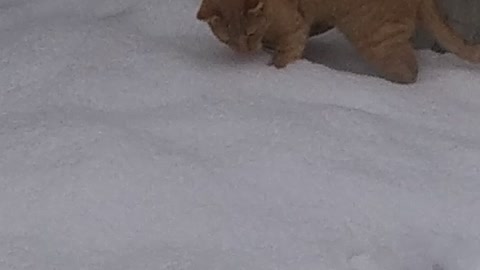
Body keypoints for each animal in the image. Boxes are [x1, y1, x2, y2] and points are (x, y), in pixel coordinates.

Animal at [195, 0, 480, 83]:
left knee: (410, 71)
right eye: (229, 39)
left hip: (376, 39)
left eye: (250, 34)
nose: (244, 52)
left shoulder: (294, 30)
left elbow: (285, 57)